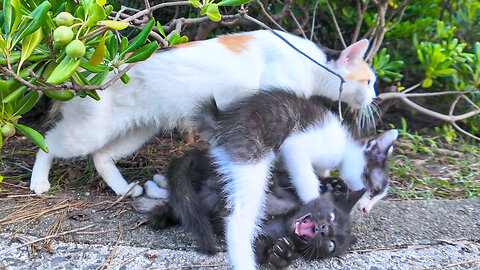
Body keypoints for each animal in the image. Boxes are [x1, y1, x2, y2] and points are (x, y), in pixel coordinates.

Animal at [30, 29, 376, 197]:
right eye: (370, 81)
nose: (374, 97)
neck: (310, 63)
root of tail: (81, 71)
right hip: (87, 131)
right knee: (46, 144)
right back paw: (39, 183)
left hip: (136, 130)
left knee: (101, 157)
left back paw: (123, 189)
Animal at [195, 89, 398, 268]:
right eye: (374, 191)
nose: (366, 210)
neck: (345, 147)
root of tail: (223, 121)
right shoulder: (298, 144)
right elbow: (306, 178)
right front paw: (315, 202)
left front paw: (330, 186)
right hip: (251, 151)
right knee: (240, 219)